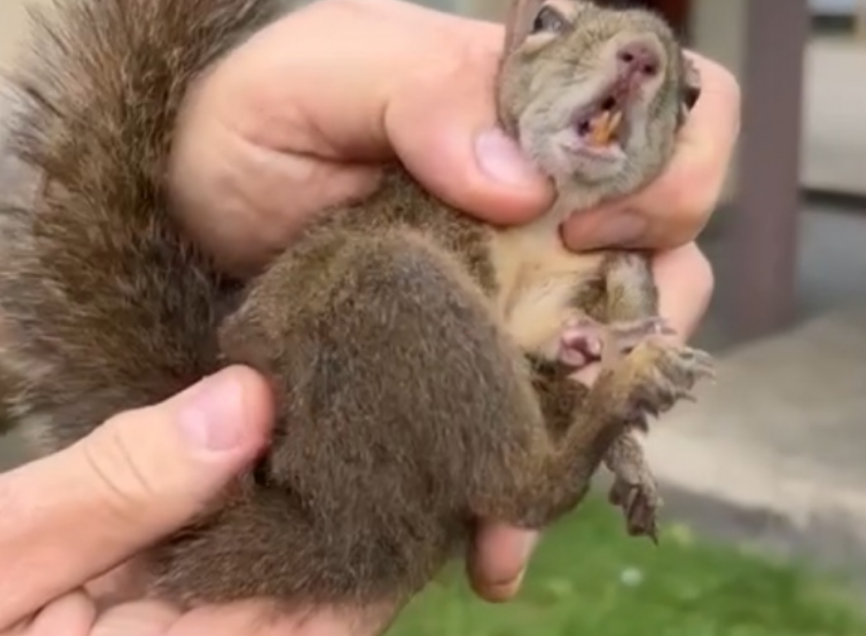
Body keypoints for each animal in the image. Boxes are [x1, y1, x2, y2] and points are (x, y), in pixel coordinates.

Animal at [0, 0, 708, 620]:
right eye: (547, 20)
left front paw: (625, 414)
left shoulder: (608, 260)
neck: (552, 216)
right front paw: (601, 365)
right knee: (521, 489)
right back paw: (619, 393)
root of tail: (332, 522)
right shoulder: (433, 213)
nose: (641, 56)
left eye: (692, 95)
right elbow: (535, 359)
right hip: (398, 293)